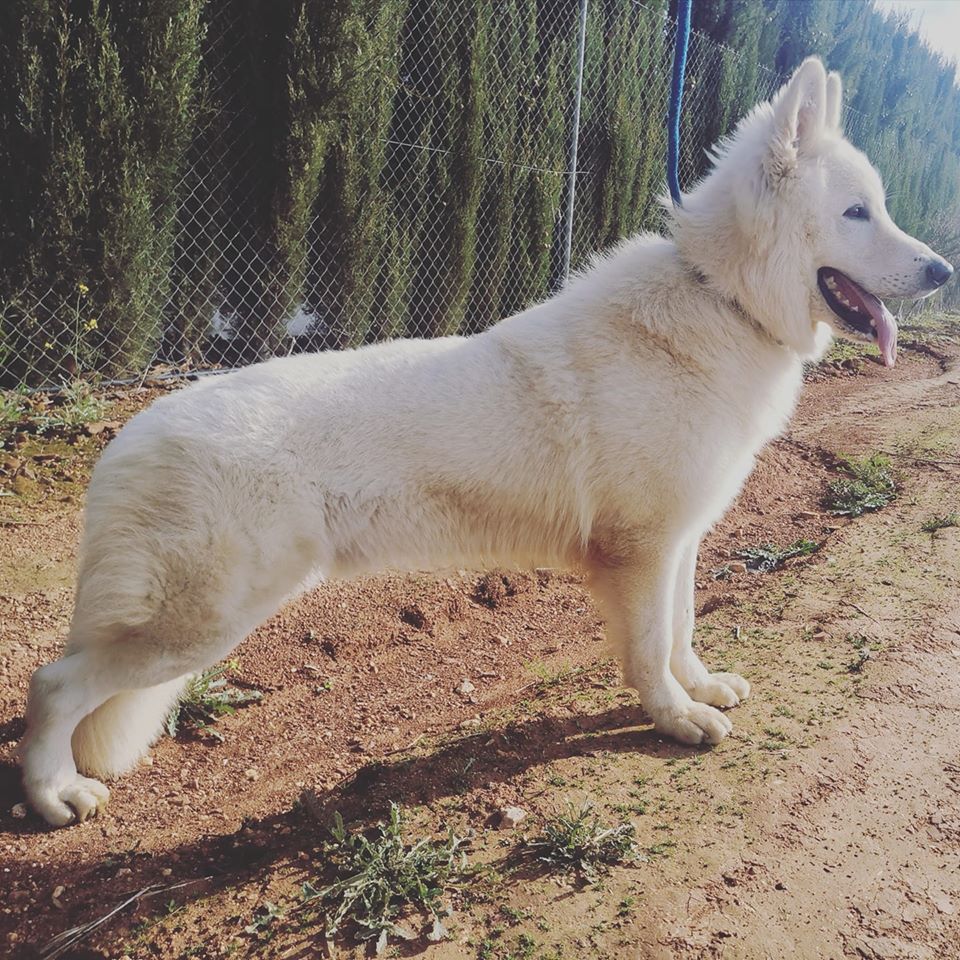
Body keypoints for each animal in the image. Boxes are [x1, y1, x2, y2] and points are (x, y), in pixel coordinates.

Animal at [20, 58, 952, 824]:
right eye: (857, 212)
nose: (944, 270)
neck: (720, 297)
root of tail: (128, 438)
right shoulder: (639, 556)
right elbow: (650, 650)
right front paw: (674, 719)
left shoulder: (678, 545)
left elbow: (682, 631)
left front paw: (700, 689)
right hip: (201, 624)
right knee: (53, 684)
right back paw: (53, 794)